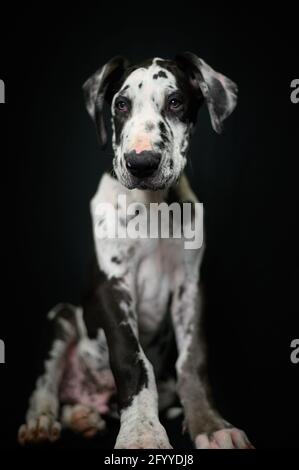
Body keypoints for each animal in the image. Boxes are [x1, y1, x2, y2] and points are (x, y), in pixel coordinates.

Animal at [18, 53, 254, 450]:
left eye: (175, 102)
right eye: (121, 105)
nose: (141, 164)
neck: (152, 206)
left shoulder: (189, 288)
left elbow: (192, 361)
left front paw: (210, 425)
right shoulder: (113, 285)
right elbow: (133, 359)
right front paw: (142, 433)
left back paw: (83, 417)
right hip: (63, 319)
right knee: (46, 386)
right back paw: (42, 420)